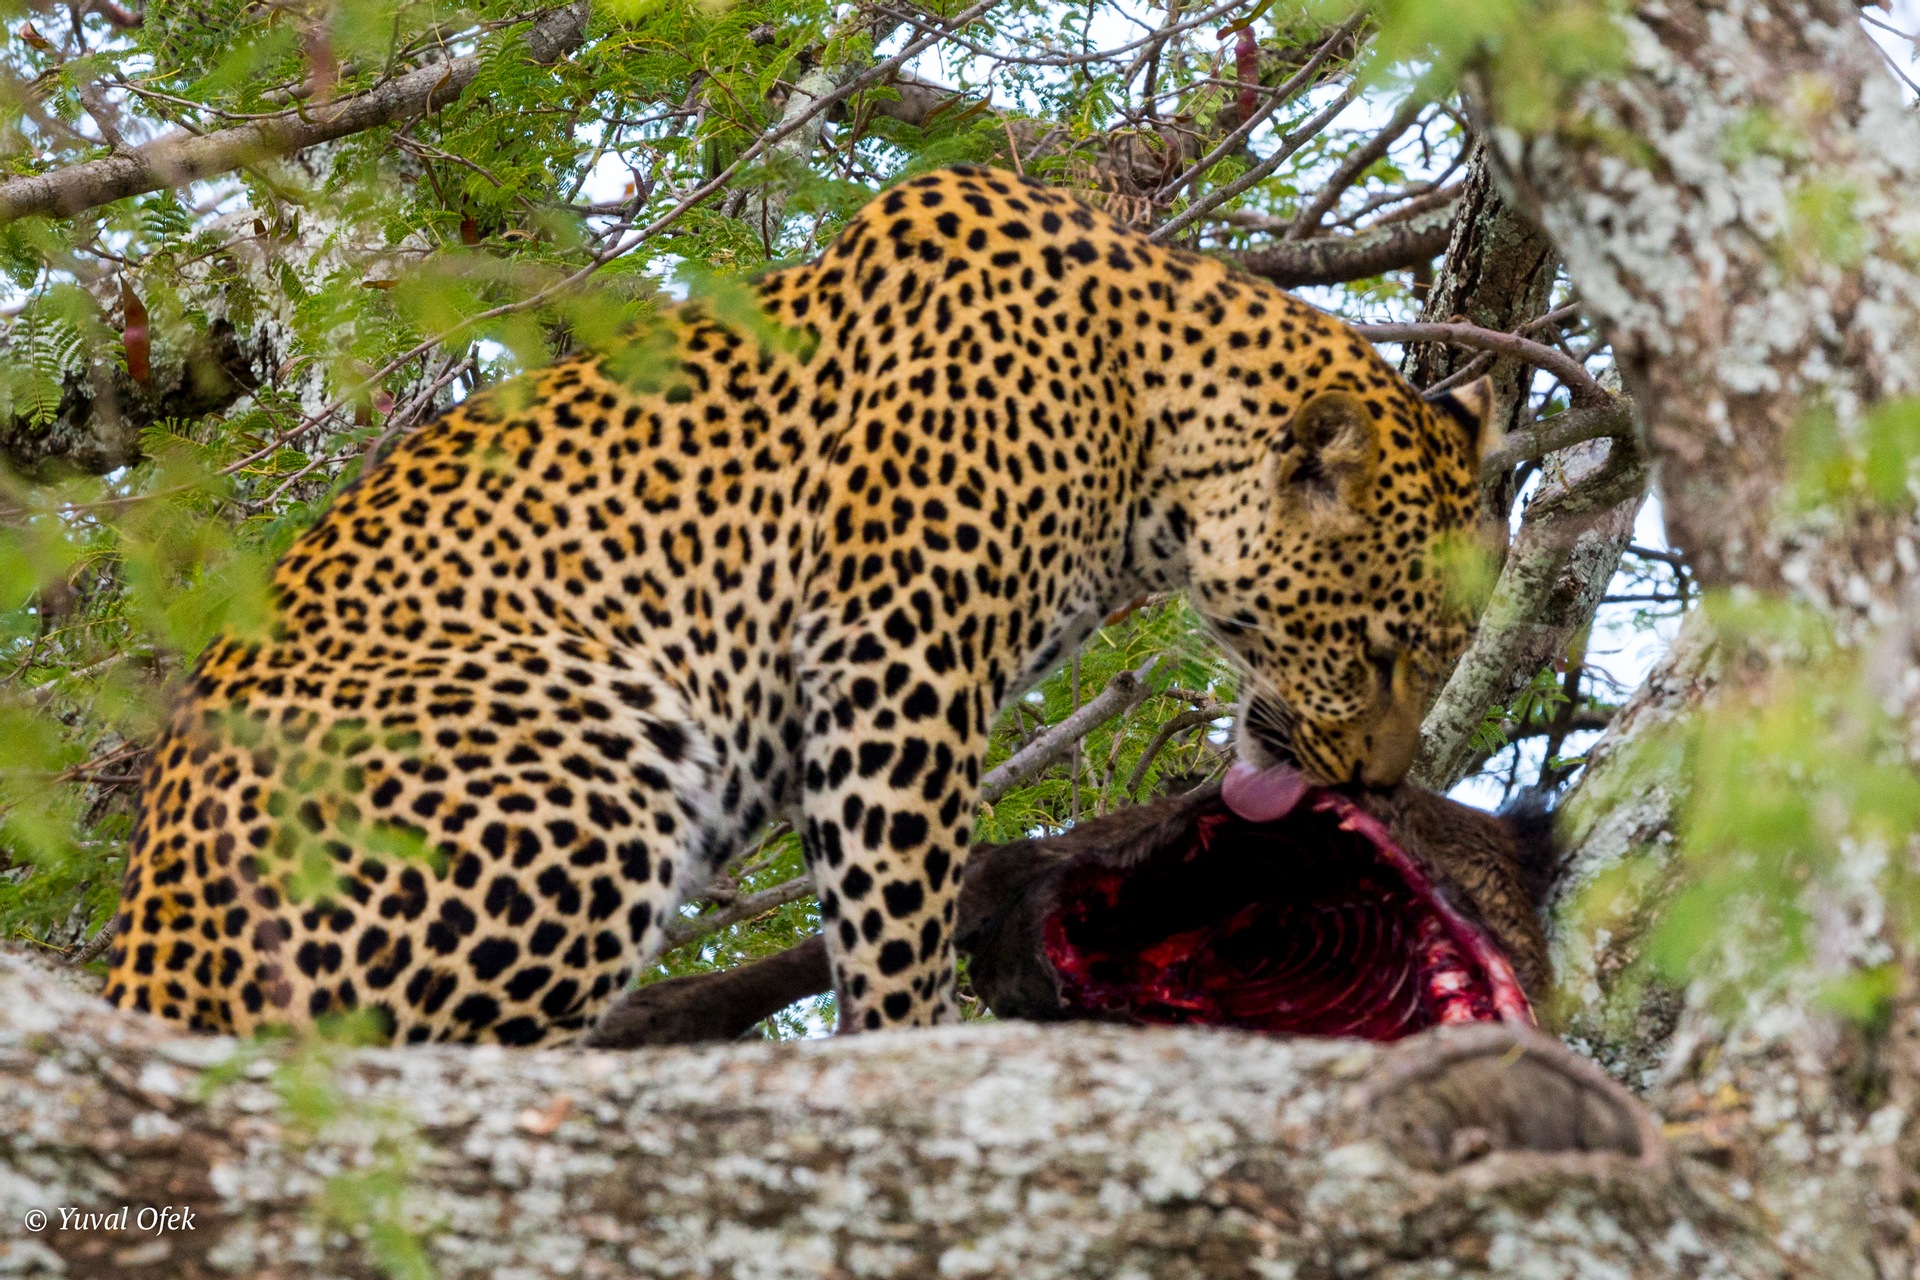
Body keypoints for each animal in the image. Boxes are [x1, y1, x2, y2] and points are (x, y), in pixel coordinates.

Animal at [105, 165, 1497, 1045]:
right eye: (1374, 650)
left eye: (1440, 660)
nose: (1378, 784)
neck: (1145, 418)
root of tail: (152, 922)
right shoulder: (902, 664)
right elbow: (895, 917)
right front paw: (910, 1048)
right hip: (583, 753)